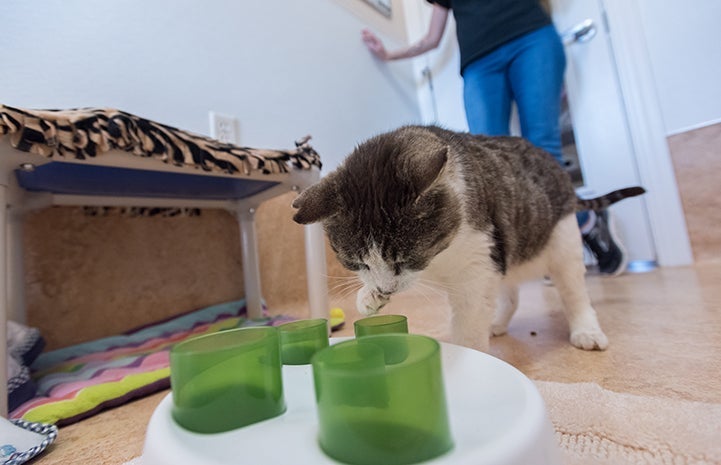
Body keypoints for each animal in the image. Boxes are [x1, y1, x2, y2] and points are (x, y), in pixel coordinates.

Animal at [290, 124, 644, 352]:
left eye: (404, 259)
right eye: (357, 262)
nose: (386, 289)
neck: (438, 259)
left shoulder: (477, 261)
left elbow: (471, 318)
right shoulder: (486, 260)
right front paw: (369, 296)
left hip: (560, 240)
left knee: (574, 293)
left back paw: (586, 330)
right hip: (506, 251)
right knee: (511, 294)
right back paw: (498, 323)